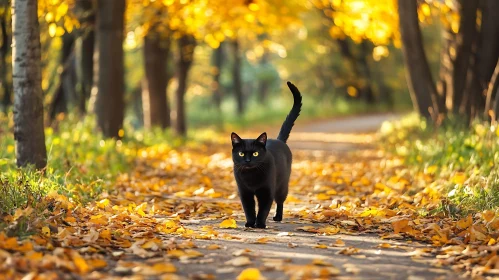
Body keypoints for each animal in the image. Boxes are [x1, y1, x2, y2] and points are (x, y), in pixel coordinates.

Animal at [231, 80, 304, 228]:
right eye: (241, 154)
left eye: (255, 153)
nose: (247, 161)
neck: (251, 176)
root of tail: (279, 140)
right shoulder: (244, 192)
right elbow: (248, 208)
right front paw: (250, 223)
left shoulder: (266, 191)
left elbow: (263, 209)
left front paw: (259, 224)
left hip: (282, 186)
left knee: (280, 201)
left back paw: (278, 217)